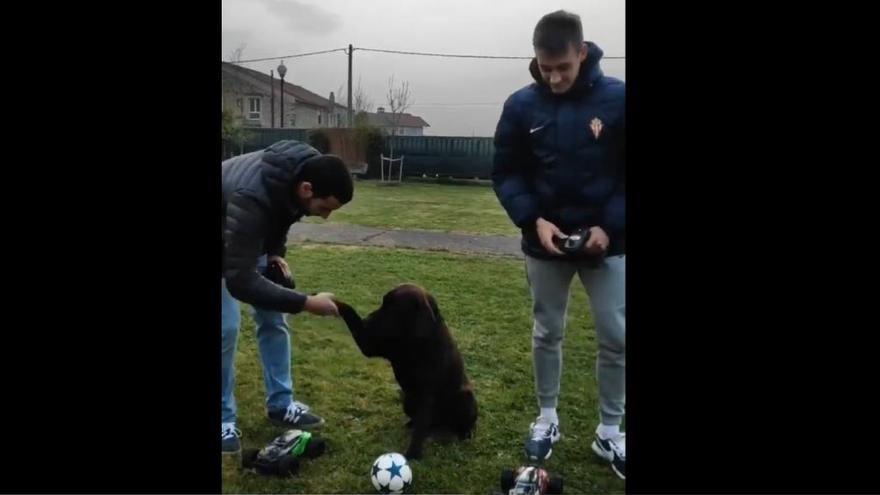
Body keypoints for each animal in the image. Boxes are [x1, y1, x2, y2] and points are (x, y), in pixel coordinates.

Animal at [334, 286, 478, 462]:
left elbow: (420, 430)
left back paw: (465, 433)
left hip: (465, 398)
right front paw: (326, 300)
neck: (413, 342)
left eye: (392, 307)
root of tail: (442, 422)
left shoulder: (427, 395)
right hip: (407, 400)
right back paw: (411, 423)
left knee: (460, 423)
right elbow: (348, 309)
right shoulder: (369, 345)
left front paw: (413, 455)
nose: (367, 319)